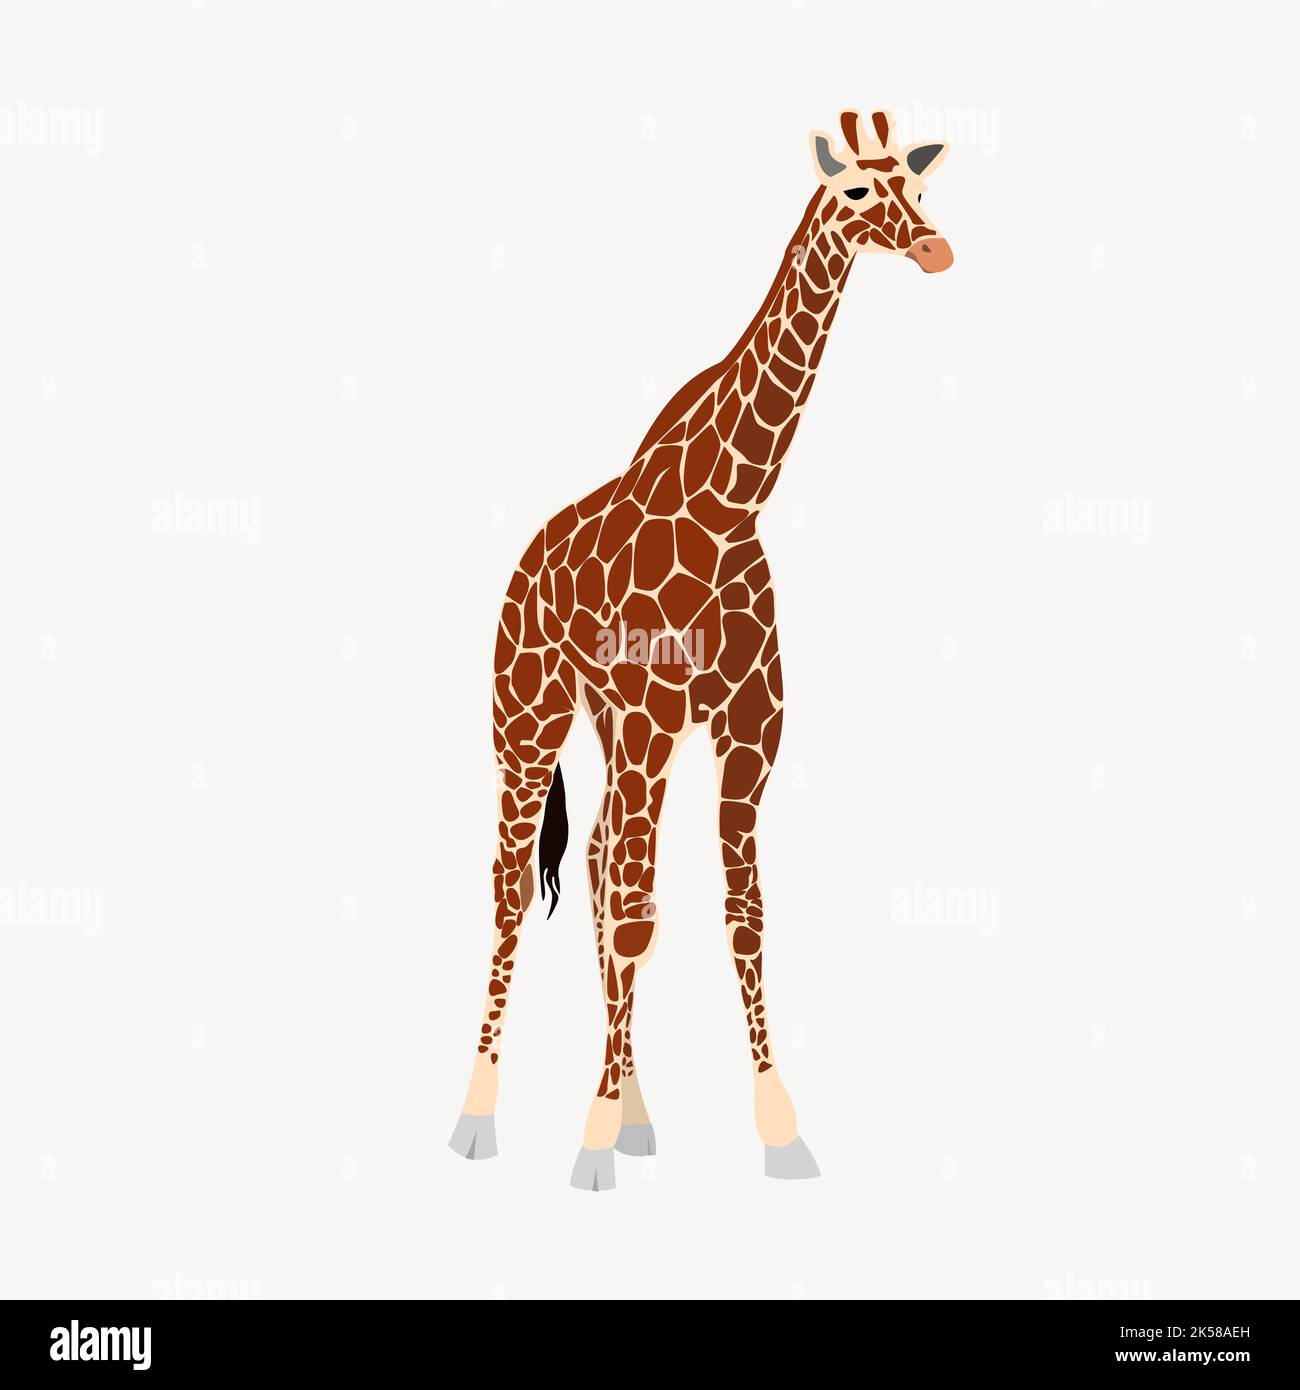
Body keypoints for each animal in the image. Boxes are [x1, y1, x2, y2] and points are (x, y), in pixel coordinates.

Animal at [448, 108, 953, 1190]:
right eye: (856, 191)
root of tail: (521, 565)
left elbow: (739, 912)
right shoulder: (650, 714)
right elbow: (639, 913)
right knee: (516, 887)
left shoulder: (747, 727)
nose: (935, 249)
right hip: (530, 715)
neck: (727, 508)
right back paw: (478, 1113)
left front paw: (777, 1130)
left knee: (600, 862)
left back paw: (637, 1109)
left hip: (614, 725)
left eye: (923, 189)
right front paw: (590, 1145)